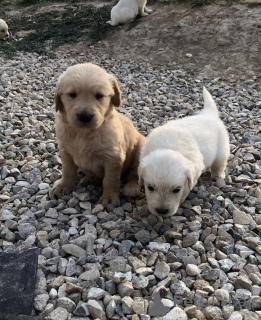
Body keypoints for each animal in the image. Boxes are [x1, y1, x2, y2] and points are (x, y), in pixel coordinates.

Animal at [52, 62, 145, 210]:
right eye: (72, 94)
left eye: (99, 95)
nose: (85, 117)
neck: (83, 133)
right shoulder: (65, 151)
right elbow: (68, 170)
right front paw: (63, 185)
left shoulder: (113, 157)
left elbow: (110, 179)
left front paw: (109, 198)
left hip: (140, 148)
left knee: (135, 173)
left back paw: (131, 188)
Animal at [137, 87, 229, 218]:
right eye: (150, 187)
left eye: (176, 190)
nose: (161, 211)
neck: (167, 146)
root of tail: (209, 114)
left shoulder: (194, 173)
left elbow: (186, 189)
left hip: (222, 149)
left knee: (220, 163)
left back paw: (218, 175)